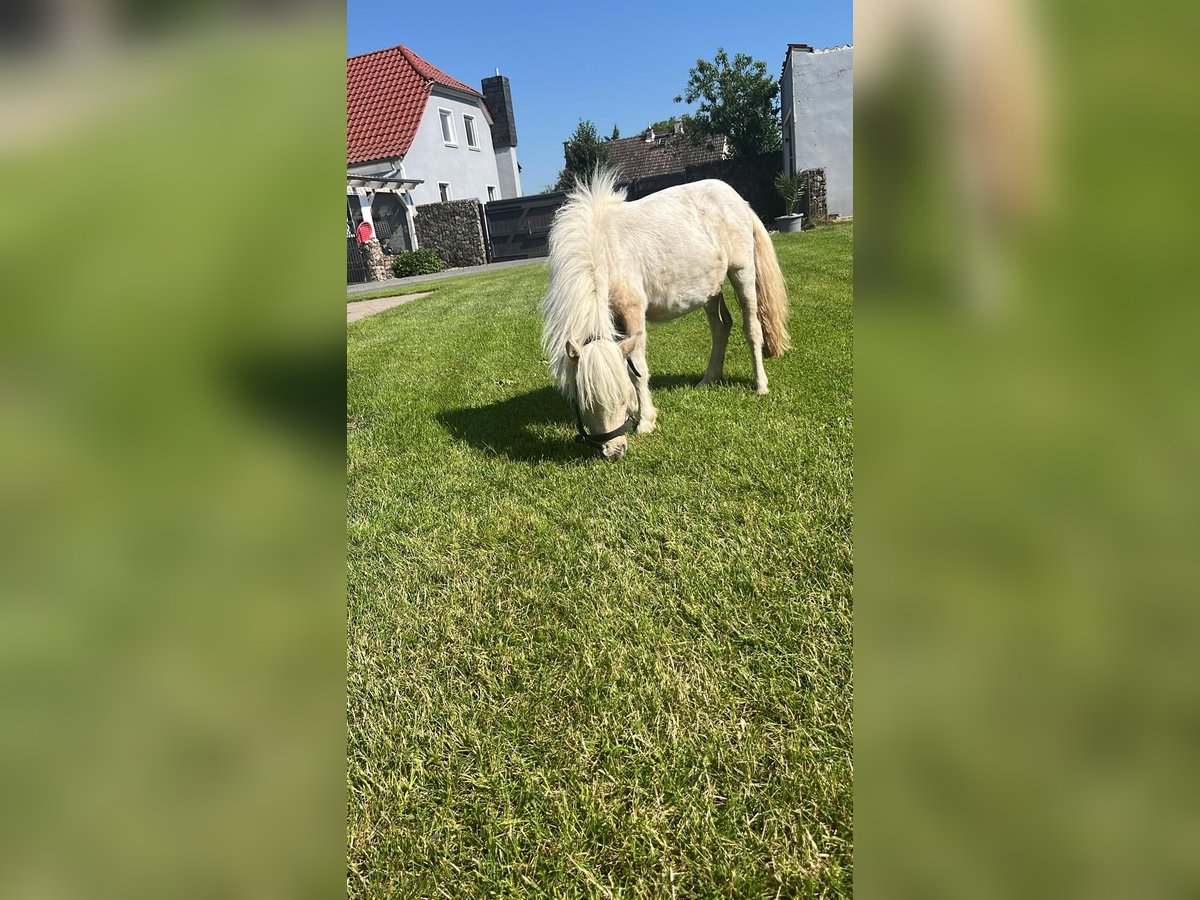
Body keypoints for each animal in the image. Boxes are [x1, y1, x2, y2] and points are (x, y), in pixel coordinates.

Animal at [542, 171, 787, 460]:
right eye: (585, 403)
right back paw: (708, 380)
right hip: (709, 288)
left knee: (752, 328)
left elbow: (637, 368)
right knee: (721, 326)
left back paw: (760, 385)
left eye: (620, 398)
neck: (604, 252)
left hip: (742, 272)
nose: (614, 451)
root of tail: (741, 202)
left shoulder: (632, 311)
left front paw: (645, 420)